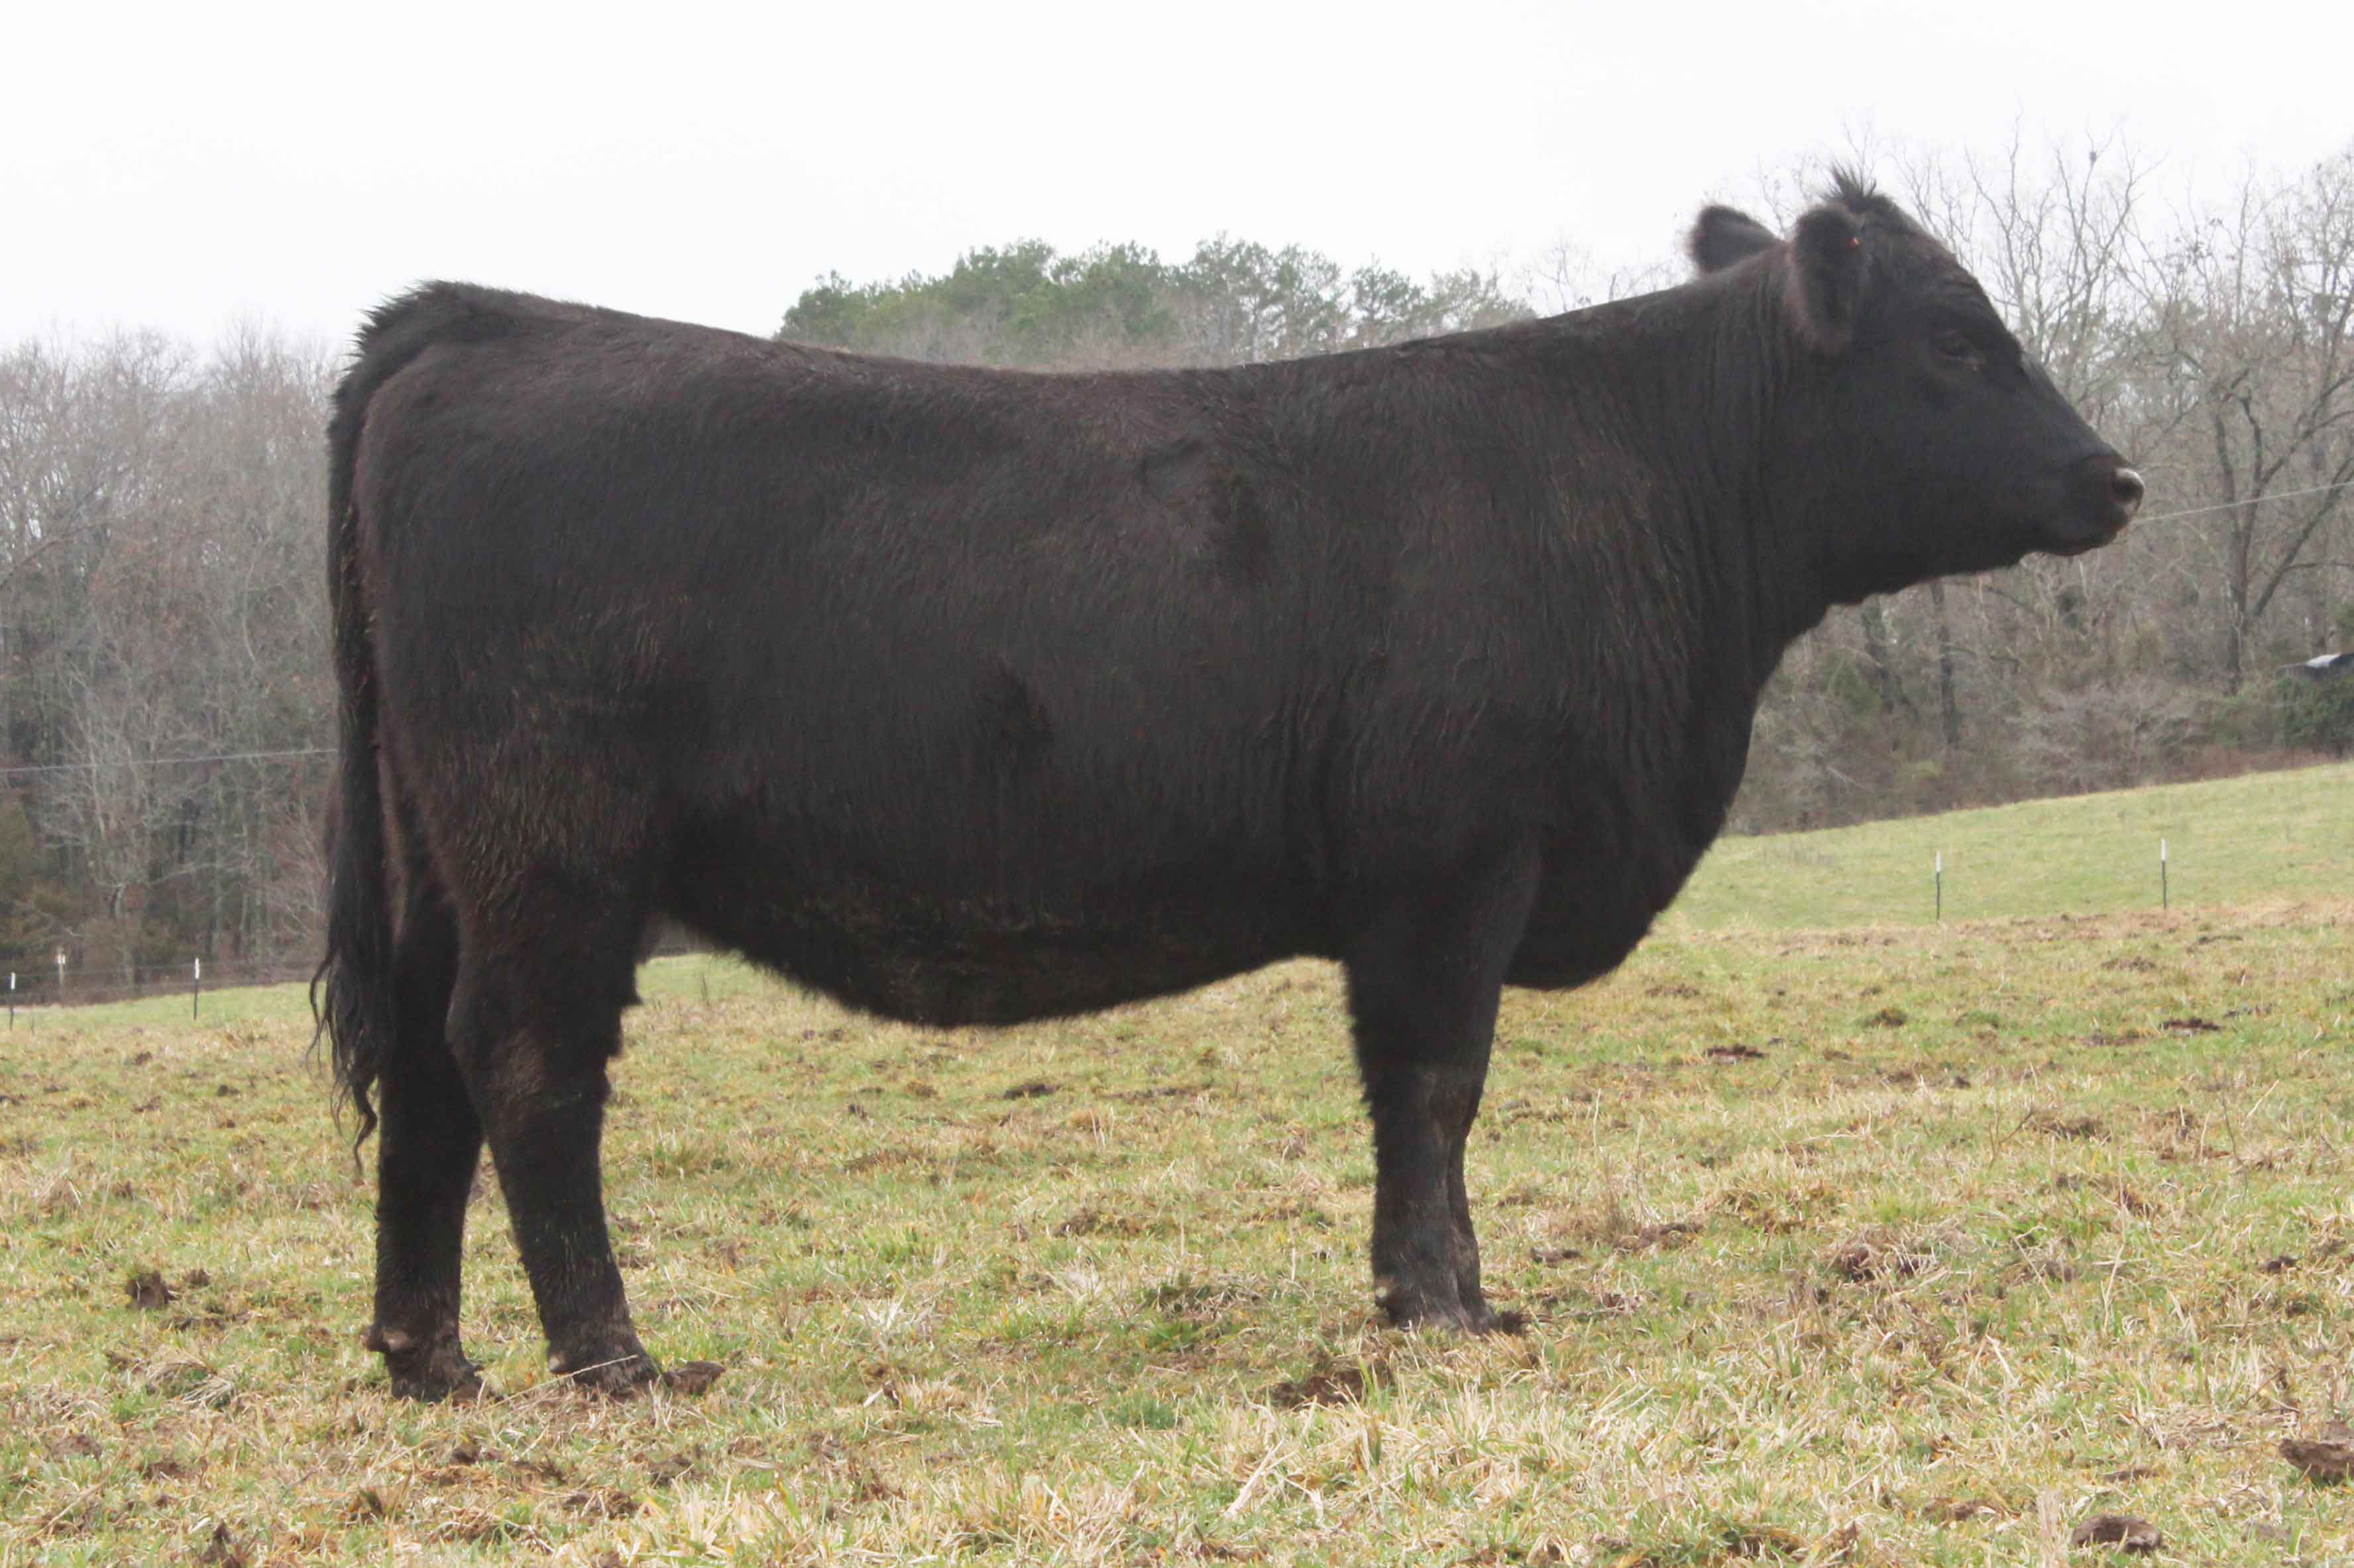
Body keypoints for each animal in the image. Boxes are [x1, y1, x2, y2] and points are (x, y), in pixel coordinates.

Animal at [317, 174, 2141, 1399]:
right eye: (1957, 340)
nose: (2114, 478)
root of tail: (481, 319)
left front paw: (1441, 1296)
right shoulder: (1453, 867)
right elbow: (1435, 1084)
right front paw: (1443, 1305)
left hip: (440, 855)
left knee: (424, 1068)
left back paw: (431, 1358)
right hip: (552, 849)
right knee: (526, 1065)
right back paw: (613, 1360)